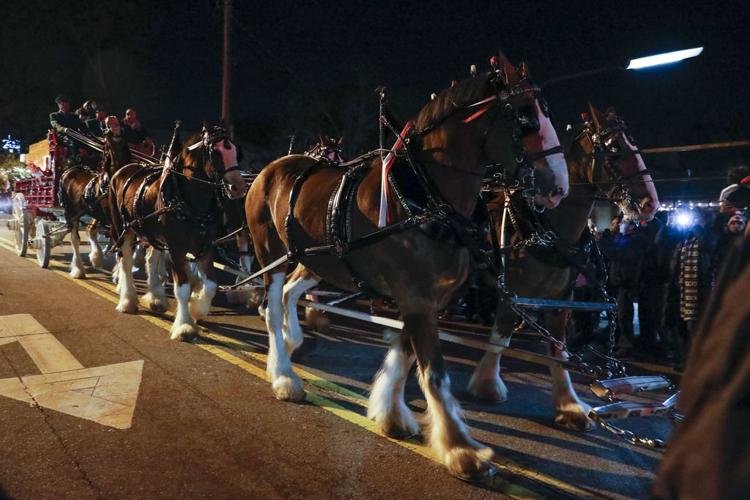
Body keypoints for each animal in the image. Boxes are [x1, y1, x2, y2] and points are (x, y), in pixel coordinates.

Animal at [247, 55, 568, 480]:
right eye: (526, 116)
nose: (558, 187)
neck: (424, 199)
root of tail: (271, 169)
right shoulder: (416, 298)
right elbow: (435, 373)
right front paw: (461, 449)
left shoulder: (425, 298)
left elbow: (404, 356)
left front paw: (391, 414)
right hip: (271, 253)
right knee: (271, 303)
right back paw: (284, 376)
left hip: (314, 259)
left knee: (287, 295)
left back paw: (291, 341)